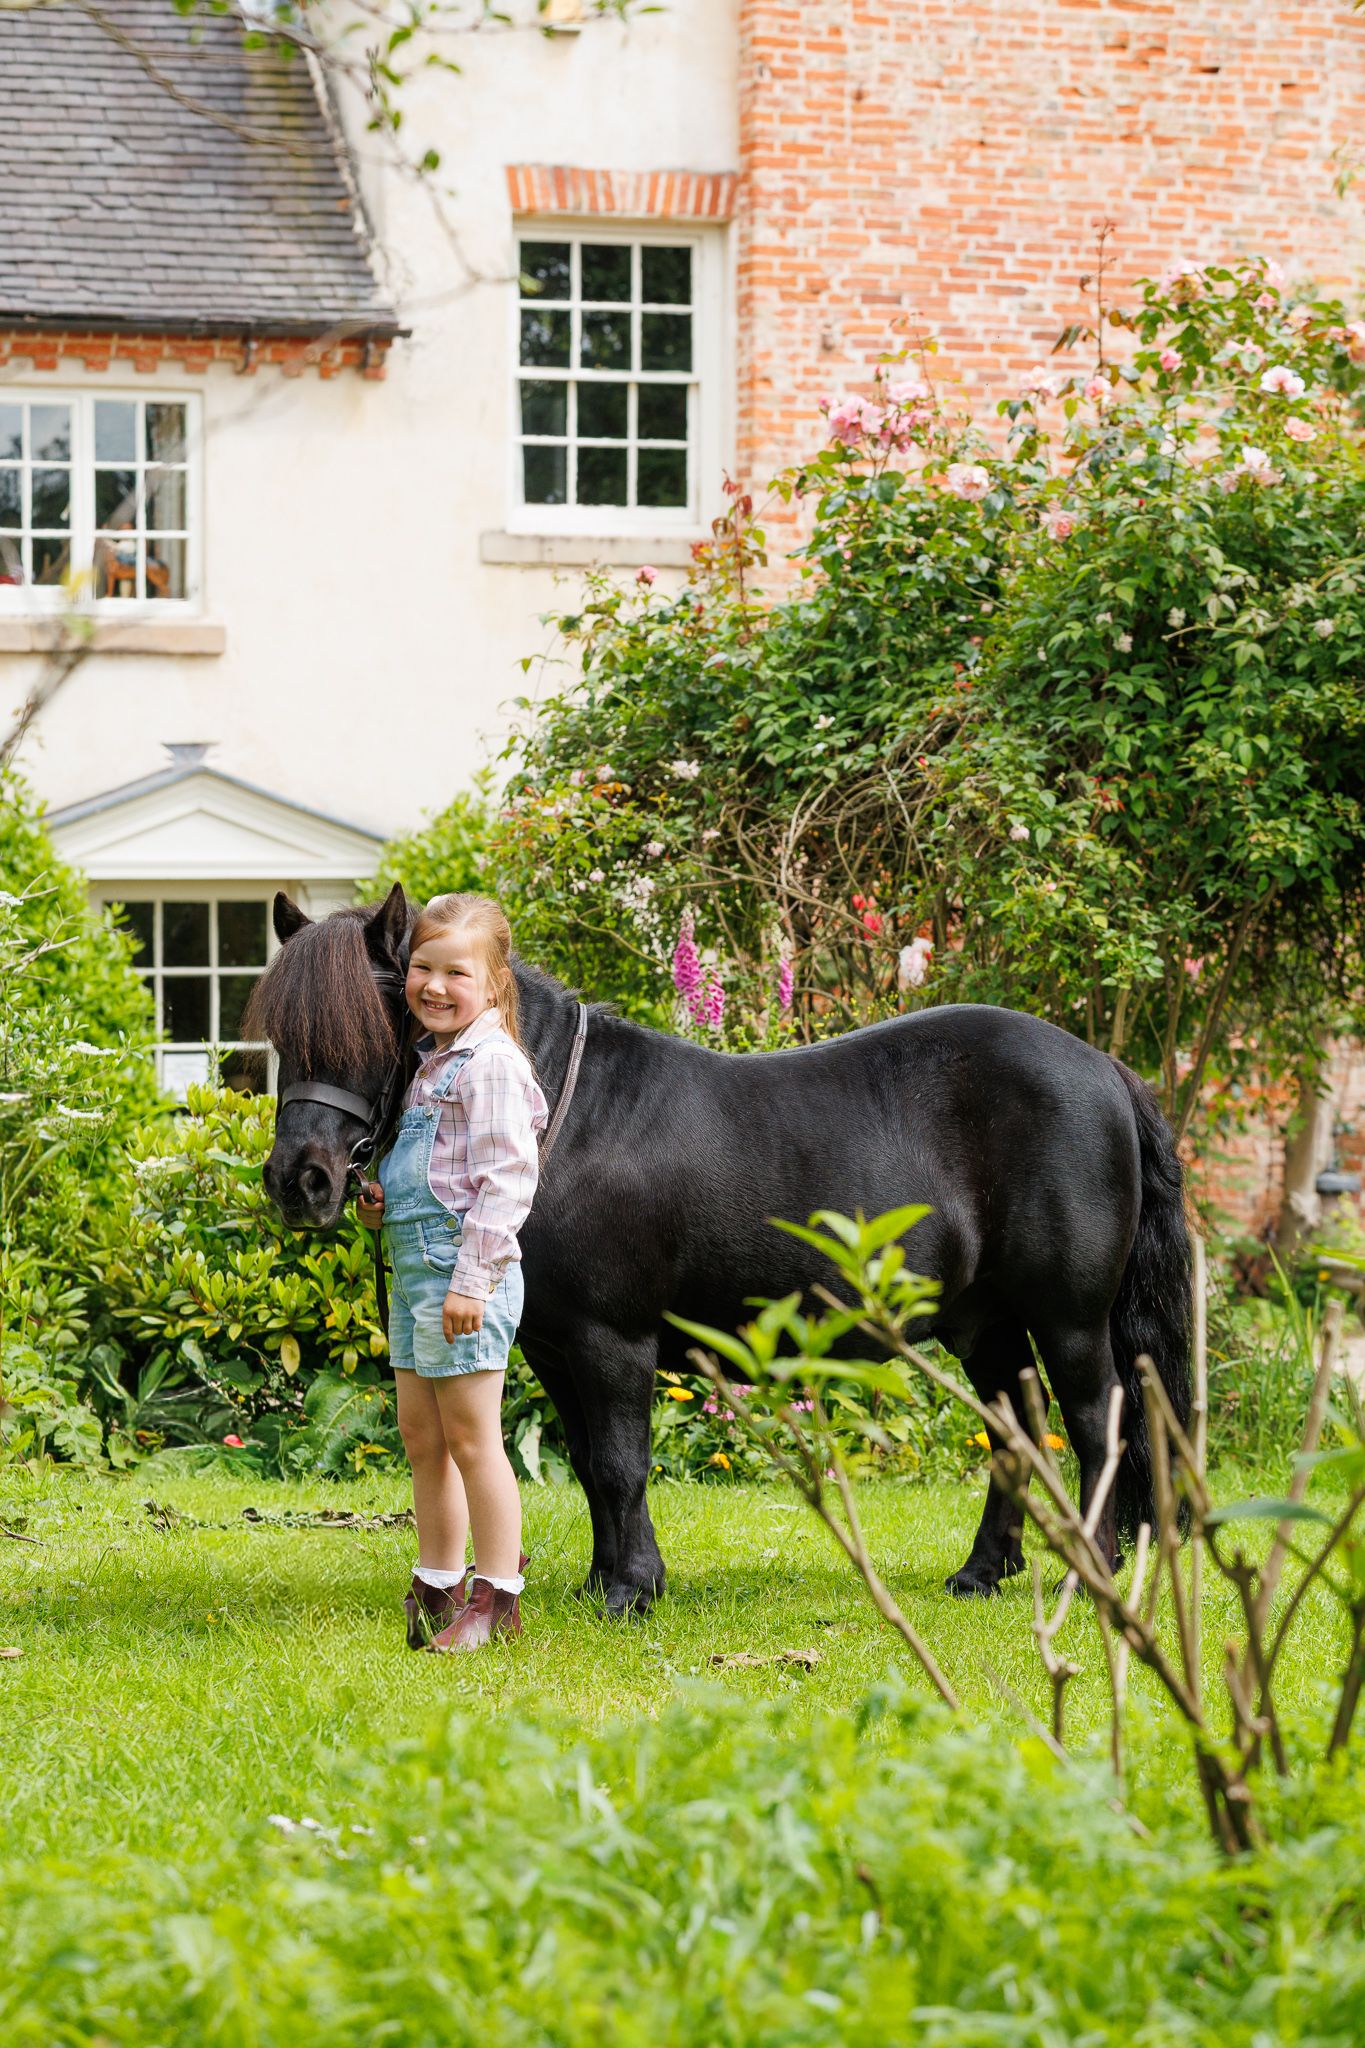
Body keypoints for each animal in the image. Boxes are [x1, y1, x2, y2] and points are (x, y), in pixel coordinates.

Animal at [247, 884, 1191, 1617]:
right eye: (282, 1036)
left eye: (375, 1020)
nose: (299, 1180)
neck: (562, 1118)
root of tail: (1105, 1069)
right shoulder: (553, 1347)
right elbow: (587, 1464)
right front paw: (602, 1584)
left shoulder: (611, 1341)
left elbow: (621, 1462)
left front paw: (630, 1591)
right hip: (984, 1323)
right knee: (1014, 1433)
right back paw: (982, 1573)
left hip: (1068, 1320)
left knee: (1096, 1427)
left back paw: (1087, 1576)